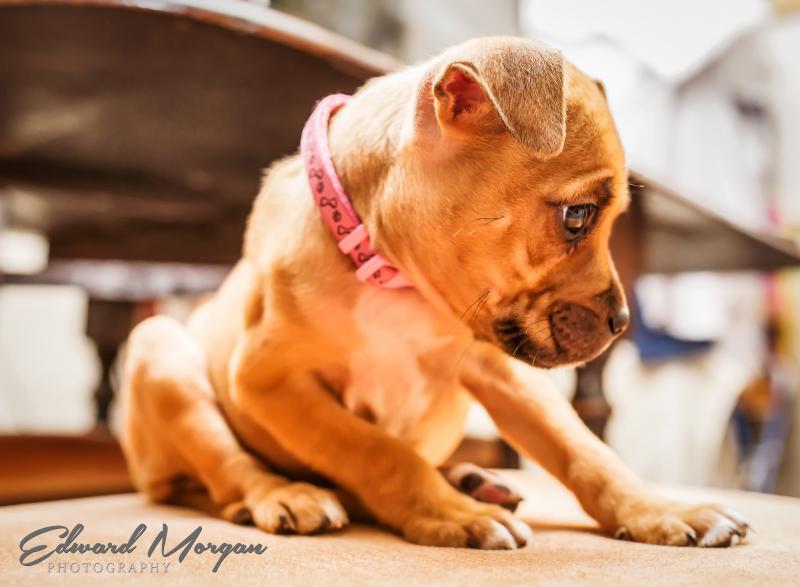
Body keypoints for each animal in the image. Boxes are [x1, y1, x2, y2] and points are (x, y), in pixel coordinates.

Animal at [120, 36, 752, 548]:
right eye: (578, 216)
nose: (622, 322)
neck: (394, 280)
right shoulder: (268, 381)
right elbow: (378, 451)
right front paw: (452, 515)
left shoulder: (502, 371)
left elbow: (584, 450)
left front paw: (659, 509)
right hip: (160, 347)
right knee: (227, 474)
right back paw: (289, 494)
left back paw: (472, 481)